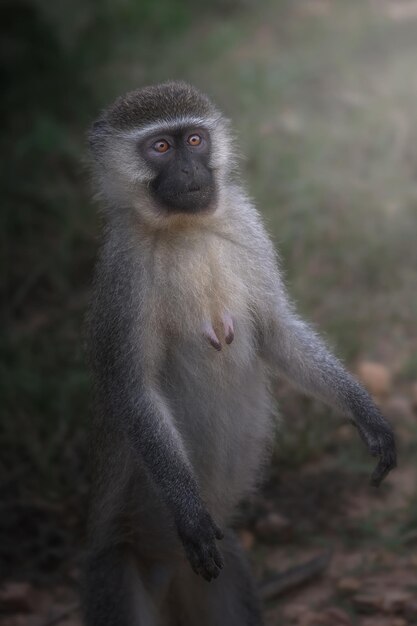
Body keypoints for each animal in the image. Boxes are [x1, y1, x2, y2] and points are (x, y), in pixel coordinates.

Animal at [83, 80, 394, 620]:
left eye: (194, 140)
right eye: (160, 147)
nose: (191, 172)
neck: (182, 228)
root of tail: (168, 573)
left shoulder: (247, 222)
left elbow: (275, 332)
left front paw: (366, 414)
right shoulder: (123, 273)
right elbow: (133, 389)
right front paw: (190, 513)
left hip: (221, 571)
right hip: (115, 574)